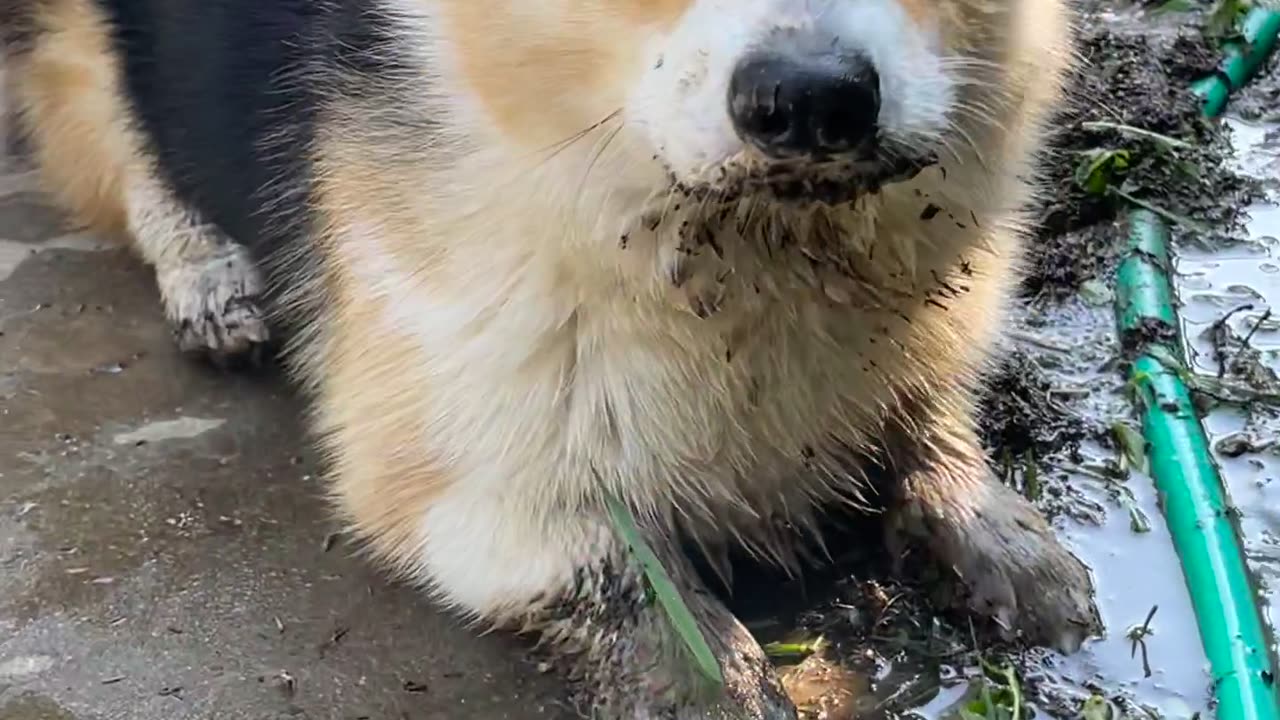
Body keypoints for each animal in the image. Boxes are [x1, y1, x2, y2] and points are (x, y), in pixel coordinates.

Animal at [2, 1, 1100, 712]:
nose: (812, 102)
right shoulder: (449, 476)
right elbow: (618, 574)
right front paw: (712, 680)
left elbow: (924, 417)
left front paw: (994, 531)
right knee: (107, 122)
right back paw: (209, 271)